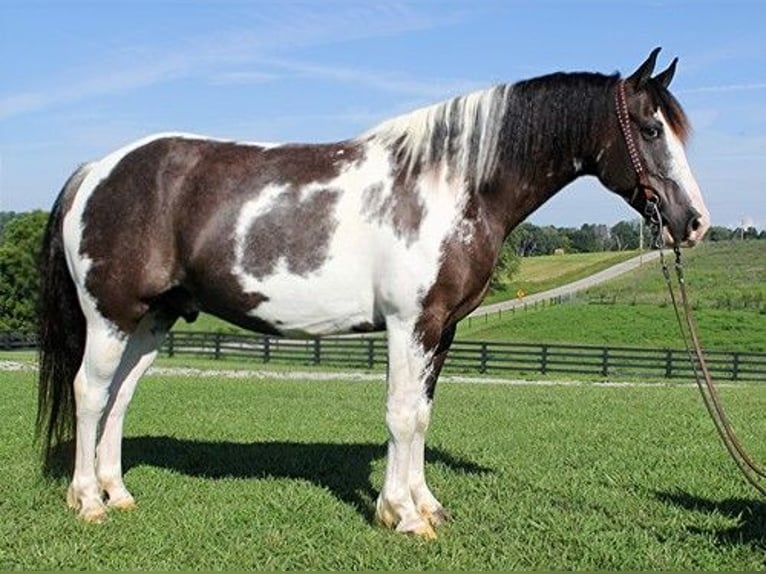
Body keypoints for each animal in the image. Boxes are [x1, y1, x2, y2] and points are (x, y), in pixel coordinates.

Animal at [37, 47, 712, 536]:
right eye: (651, 129)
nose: (694, 223)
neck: (450, 183)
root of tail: (95, 171)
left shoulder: (443, 329)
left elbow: (422, 414)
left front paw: (425, 505)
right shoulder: (410, 323)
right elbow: (402, 414)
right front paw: (403, 517)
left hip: (152, 321)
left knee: (120, 398)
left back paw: (118, 494)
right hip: (110, 317)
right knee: (90, 394)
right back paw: (87, 502)